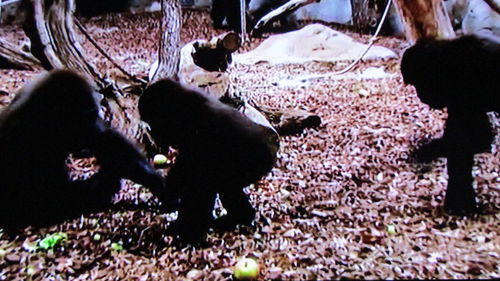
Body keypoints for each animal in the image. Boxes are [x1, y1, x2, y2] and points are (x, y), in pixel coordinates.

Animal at [0, 70, 164, 230]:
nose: (90, 128)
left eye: (91, 117)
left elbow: (106, 140)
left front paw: (156, 182)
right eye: (81, 118)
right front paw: (108, 179)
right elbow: (52, 198)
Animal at [138, 77, 278, 242]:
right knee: (227, 188)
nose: (155, 134)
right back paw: (241, 217)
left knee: (212, 184)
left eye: (154, 121)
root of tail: (273, 142)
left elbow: (192, 176)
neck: (183, 106)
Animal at [402, 34, 500, 214]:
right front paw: (427, 150)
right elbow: (478, 140)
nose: (420, 95)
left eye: (419, 83)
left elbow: (462, 146)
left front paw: (459, 202)